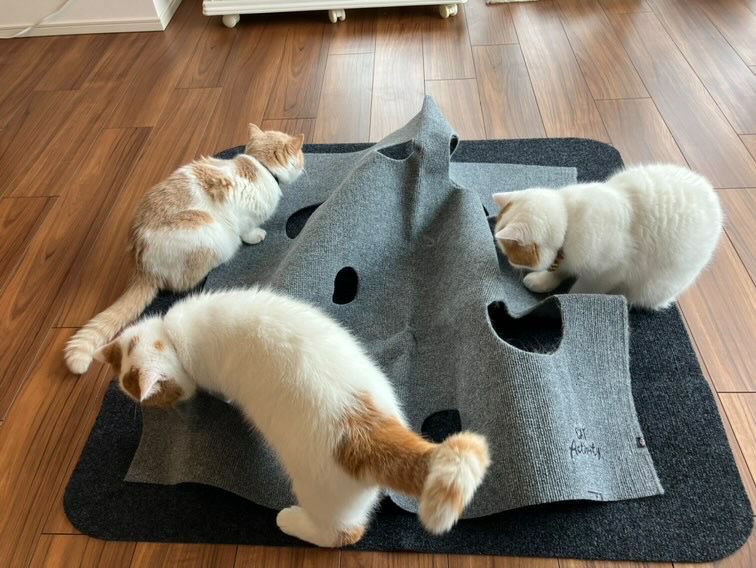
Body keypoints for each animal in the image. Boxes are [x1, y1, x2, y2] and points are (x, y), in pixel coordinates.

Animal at [65, 125, 305, 375]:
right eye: (301, 155)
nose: (304, 163)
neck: (260, 165)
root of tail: (143, 267)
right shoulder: (244, 216)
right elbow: (248, 230)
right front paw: (256, 236)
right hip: (209, 232)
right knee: (184, 281)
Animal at [94, 288, 490, 547]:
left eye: (163, 397)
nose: (162, 409)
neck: (175, 336)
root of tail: (370, 430)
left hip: (315, 494)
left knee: (343, 534)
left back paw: (290, 521)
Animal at [492, 164, 723, 310]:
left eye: (510, 254)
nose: (509, 263)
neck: (569, 220)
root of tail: (713, 196)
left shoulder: (609, 272)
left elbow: (580, 290)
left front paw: (568, 302)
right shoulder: (565, 258)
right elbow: (559, 271)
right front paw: (543, 281)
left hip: (654, 286)